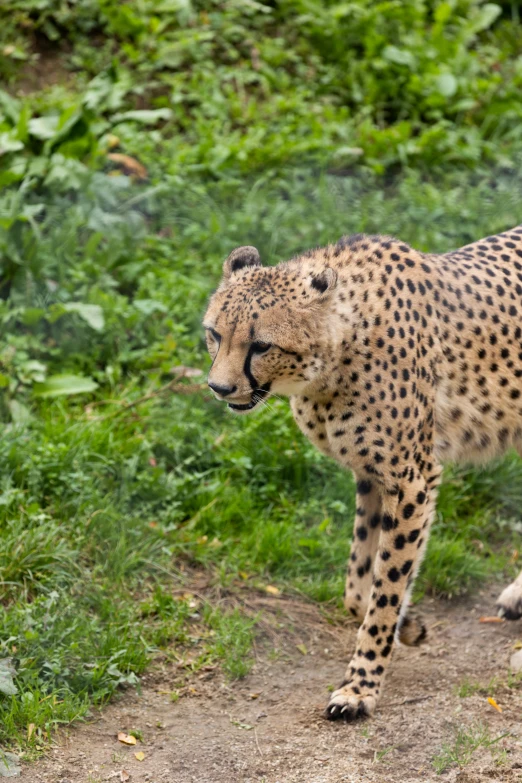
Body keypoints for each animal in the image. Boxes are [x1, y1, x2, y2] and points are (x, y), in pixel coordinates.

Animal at [202, 228, 522, 724]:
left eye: (261, 345)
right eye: (215, 334)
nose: (219, 388)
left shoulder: (413, 479)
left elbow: (385, 586)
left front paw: (360, 687)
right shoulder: (371, 476)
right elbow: (360, 584)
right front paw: (409, 624)